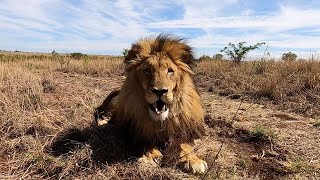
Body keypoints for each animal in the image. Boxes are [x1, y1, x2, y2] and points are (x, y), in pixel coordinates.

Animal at [95, 34, 208, 174]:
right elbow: (146, 143)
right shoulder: (134, 131)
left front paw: (192, 160)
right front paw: (150, 158)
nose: (159, 91)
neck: (160, 121)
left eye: (170, 71)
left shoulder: (186, 131)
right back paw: (104, 125)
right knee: (101, 116)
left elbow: (185, 145)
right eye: (147, 70)